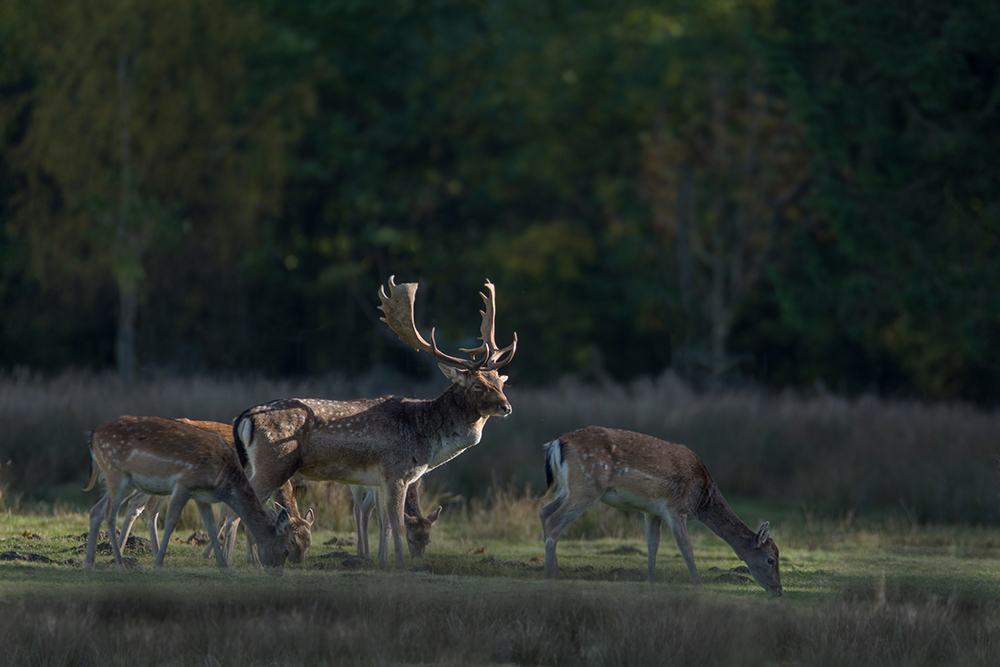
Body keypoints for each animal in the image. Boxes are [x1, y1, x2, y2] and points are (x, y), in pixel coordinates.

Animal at [81, 418, 300, 576]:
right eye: (288, 547)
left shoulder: (203, 496)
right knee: (118, 512)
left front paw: (224, 565)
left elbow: (213, 524)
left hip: (126, 483)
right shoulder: (184, 485)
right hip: (122, 478)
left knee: (98, 510)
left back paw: (91, 563)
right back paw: (121, 562)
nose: (279, 572)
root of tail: (92, 435)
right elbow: (174, 521)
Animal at [220, 276, 516, 568]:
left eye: (501, 382)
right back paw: (233, 562)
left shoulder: (380, 481)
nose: (507, 407)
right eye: (478, 385)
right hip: (275, 462)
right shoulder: (396, 472)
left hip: (254, 464)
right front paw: (400, 564)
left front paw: (383, 561)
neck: (425, 438)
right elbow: (396, 523)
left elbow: (384, 522)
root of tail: (244, 417)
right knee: (236, 508)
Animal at [540, 426, 780, 596]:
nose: (778, 590)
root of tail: (556, 443)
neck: (702, 498)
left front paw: (651, 582)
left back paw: (554, 570)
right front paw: (699, 586)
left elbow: (652, 545)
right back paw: (550, 577)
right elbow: (686, 548)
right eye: (771, 559)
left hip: (568, 488)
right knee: (554, 520)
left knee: (544, 512)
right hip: (587, 486)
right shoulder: (675, 508)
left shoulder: (651, 510)